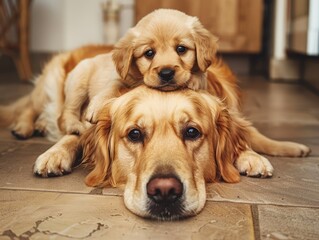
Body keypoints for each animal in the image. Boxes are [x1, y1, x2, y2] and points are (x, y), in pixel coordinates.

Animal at [35, 85, 274, 220]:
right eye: (134, 134)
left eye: (191, 131)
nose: (165, 191)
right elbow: (75, 135)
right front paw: (53, 155)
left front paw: (251, 157)